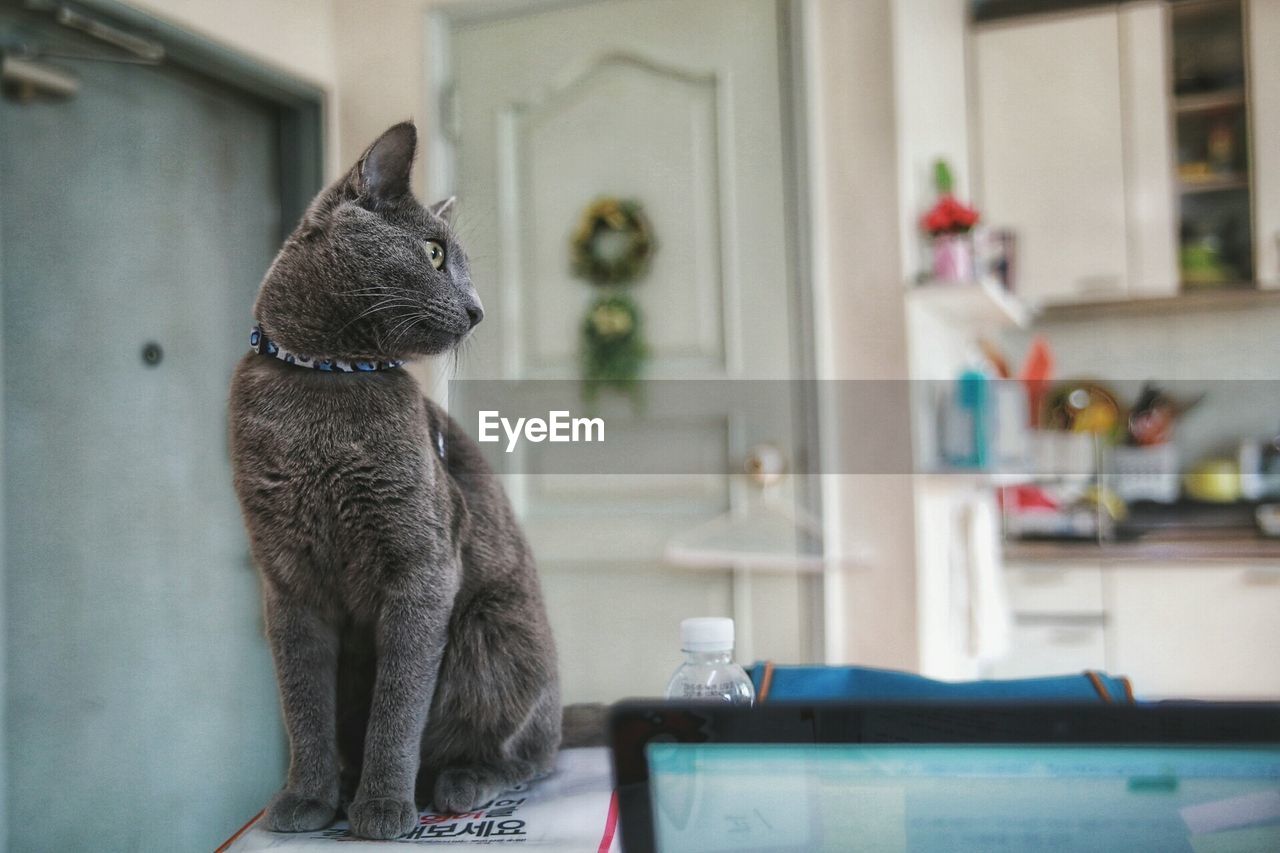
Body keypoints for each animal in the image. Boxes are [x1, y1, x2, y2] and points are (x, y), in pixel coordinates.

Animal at [230, 122, 560, 840]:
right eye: (433, 253)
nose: (478, 309)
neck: (324, 379)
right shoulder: (287, 580)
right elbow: (303, 702)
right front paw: (306, 798)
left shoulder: (422, 567)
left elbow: (398, 704)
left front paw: (381, 807)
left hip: (492, 631)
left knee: (531, 753)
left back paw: (460, 781)